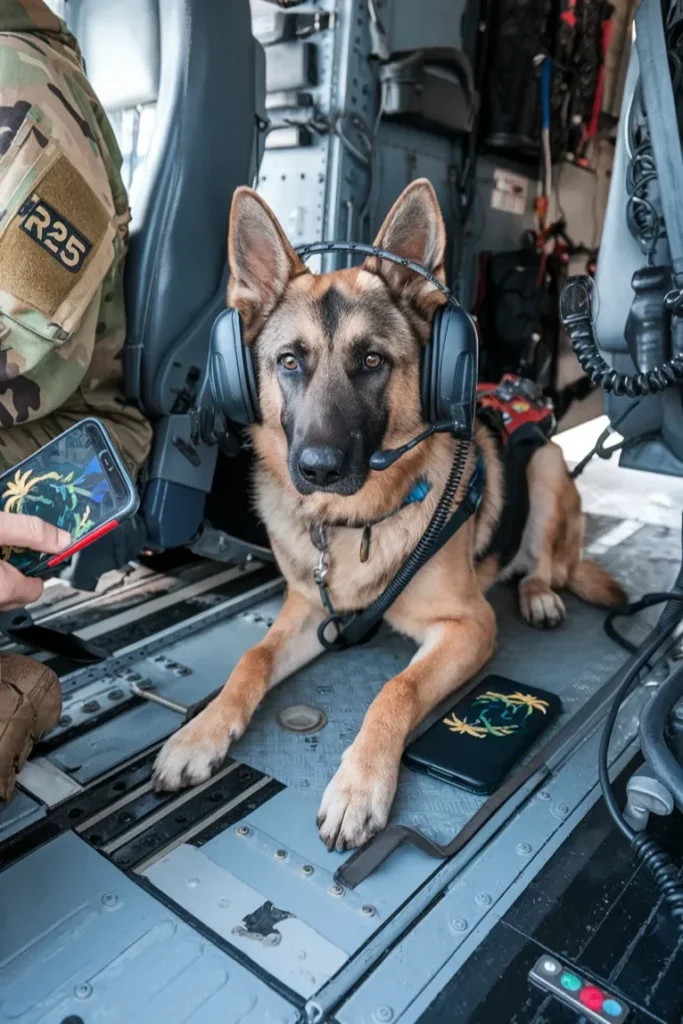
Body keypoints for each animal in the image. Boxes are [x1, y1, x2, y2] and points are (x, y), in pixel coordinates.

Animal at [153, 182, 626, 847]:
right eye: (289, 361)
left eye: (372, 361)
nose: (317, 469)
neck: (354, 523)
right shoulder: (307, 612)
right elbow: (253, 659)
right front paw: (200, 732)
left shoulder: (469, 626)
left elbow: (395, 689)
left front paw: (359, 785)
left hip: (548, 469)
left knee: (547, 563)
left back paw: (539, 594)